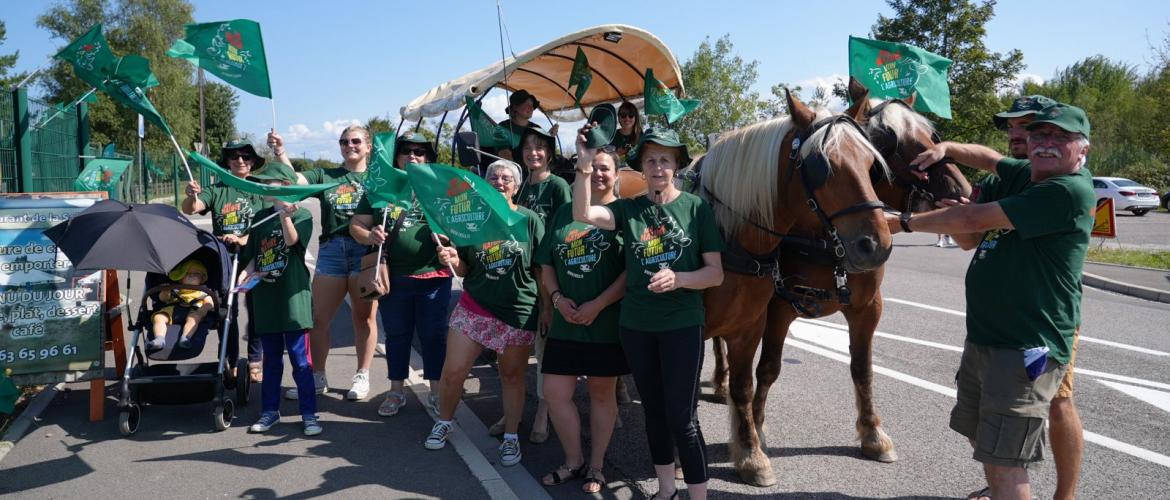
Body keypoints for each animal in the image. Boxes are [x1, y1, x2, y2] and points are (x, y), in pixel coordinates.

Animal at [702, 80, 968, 487]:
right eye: (888, 140)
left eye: (872, 160)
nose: (960, 189)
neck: (826, 243)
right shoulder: (779, 308)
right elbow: (768, 368)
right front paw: (757, 432)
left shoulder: (867, 308)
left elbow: (862, 368)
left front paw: (873, 434)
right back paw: (719, 382)